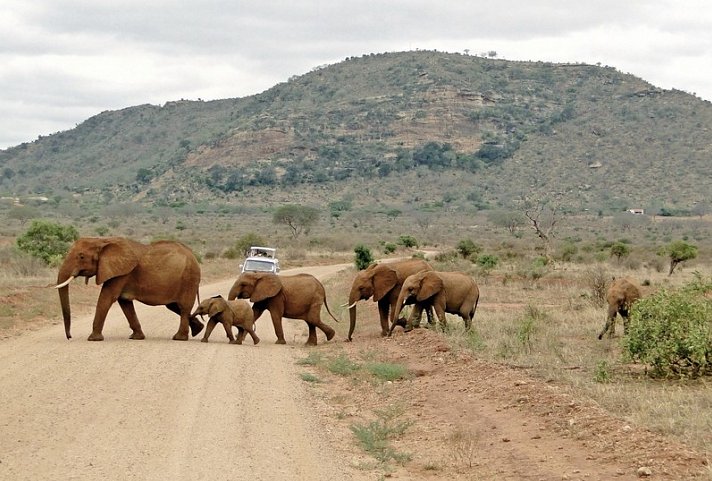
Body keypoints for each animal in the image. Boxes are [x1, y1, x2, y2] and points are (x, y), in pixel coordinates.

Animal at [53, 236, 200, 342]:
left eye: (81, 256)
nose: (69, 337)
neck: (102, 240)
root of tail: (193, 255)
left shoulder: (122, 273)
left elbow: (107, 297)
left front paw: (93, 339)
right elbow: (124, 302)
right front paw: (136, 338)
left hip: (189, 279)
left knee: (183, 307)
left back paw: (179, 338)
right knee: (174, 306)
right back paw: (198, 329)